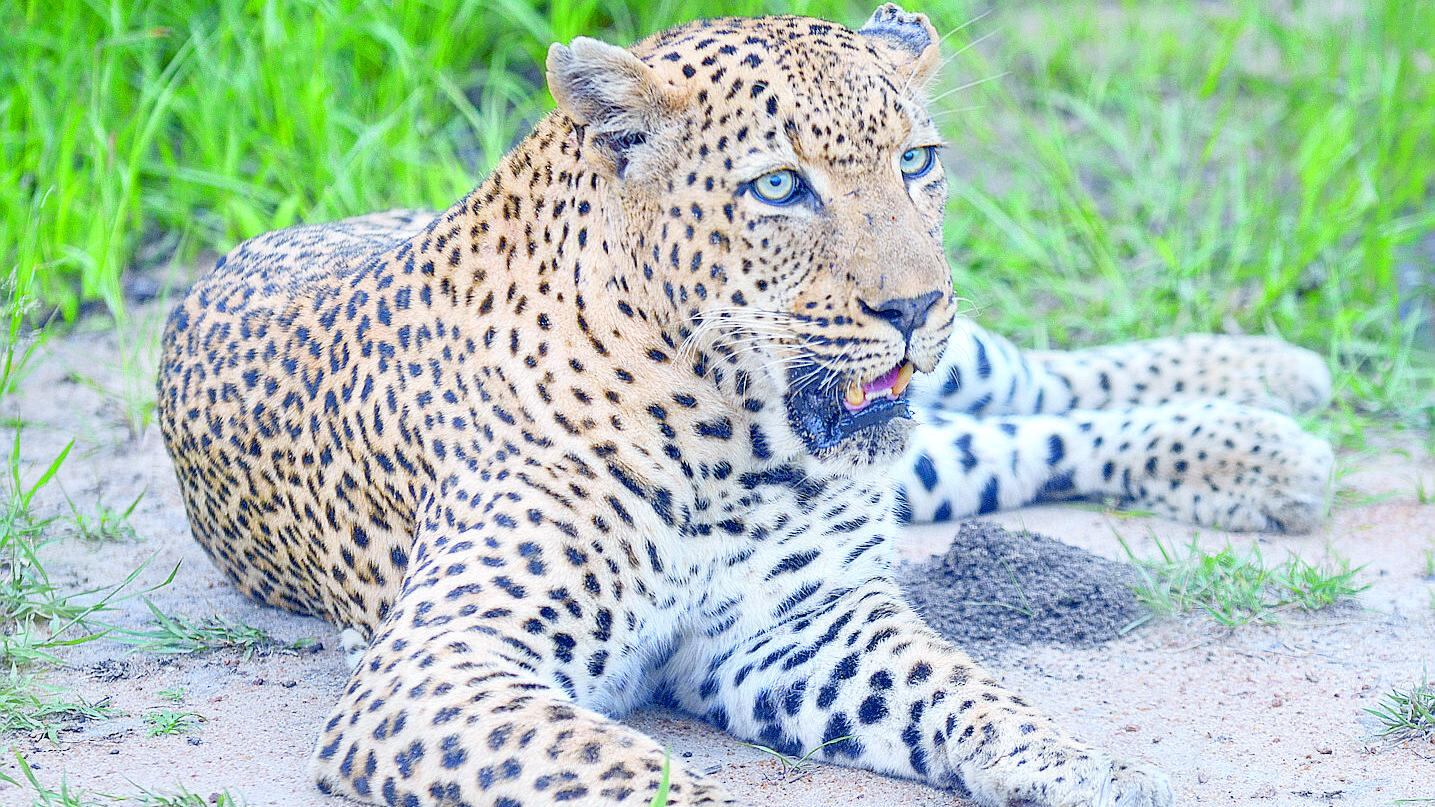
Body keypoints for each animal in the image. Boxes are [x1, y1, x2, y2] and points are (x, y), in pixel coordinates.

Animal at [158, 5, 1331, 805]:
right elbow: (621, 767)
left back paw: (1269, 389)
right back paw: (1267, 443)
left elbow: (966, 686)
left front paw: (1079, 767)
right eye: (778, 187)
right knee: (1011, 437)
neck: (727, 436)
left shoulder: (805, 618)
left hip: (962, 381)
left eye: (916, 162)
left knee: (1035, 381)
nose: (913, 305)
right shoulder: (437, 667)